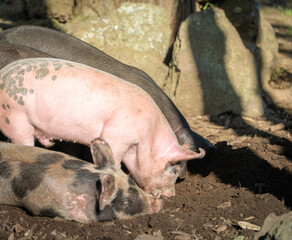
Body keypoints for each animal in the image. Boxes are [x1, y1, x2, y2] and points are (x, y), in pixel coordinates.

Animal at [0, 57, 205, 197]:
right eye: (173, 170)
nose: (171, 195)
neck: (146, 137)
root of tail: (3, 74)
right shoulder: (115, 135)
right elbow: (114, 160)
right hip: (16, 117)